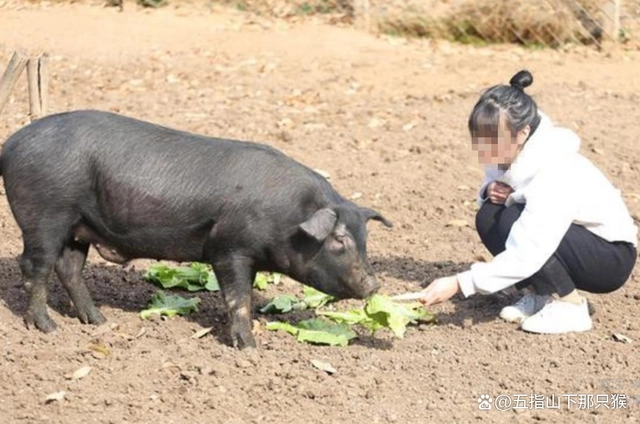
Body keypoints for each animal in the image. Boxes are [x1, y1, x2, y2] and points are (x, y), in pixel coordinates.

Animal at [0, 111, 392, 350]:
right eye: (339, 240)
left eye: (364, 239)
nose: (374, 285)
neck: (289, 217)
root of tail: (9, 145)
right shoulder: (230, 249)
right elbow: (238, 299)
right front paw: (250, 349)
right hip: (46, 215)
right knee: (34, 266)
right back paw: (48, 328)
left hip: (79, 226)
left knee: (68, 268)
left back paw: (99, 322)